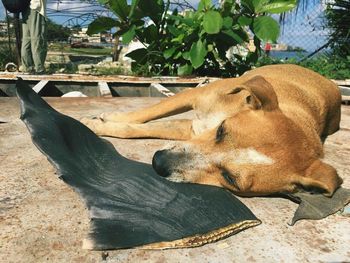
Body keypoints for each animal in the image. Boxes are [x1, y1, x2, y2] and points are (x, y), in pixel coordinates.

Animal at [81, 65, 342, 197]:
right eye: (221, 130)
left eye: (229, 178)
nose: (158, 162)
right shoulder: (194, 96)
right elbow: (142, 116)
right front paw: (101, 120)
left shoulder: (190, 131)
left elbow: (136, 130)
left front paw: (99, 123)